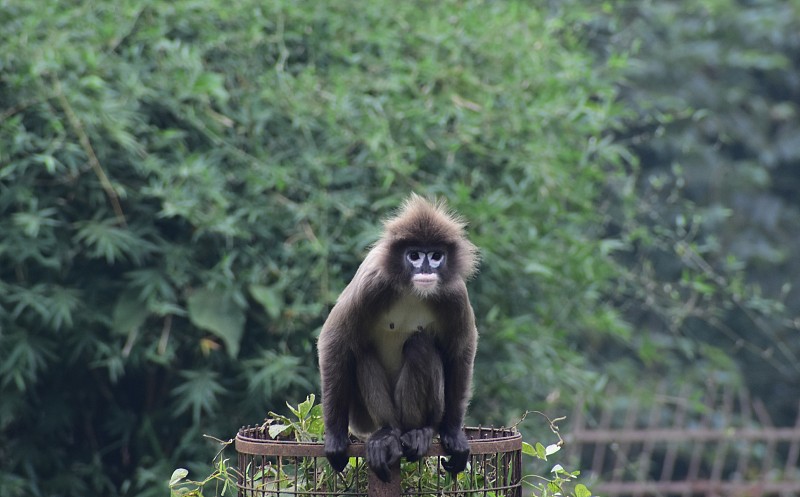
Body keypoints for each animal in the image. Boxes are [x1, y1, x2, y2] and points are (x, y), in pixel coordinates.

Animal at [318, 193, 482, 480]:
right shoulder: (372, 284)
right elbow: (334, 342)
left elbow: (461, 350)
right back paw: (388, 434)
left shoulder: (454, 295)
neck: (412, 290)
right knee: (362, 352)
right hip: (363, 418)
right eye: (414, 255)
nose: (425, 269)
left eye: (436, 256)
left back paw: (420, 431)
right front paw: (335, 439)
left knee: (419, 345)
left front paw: (453, 434)